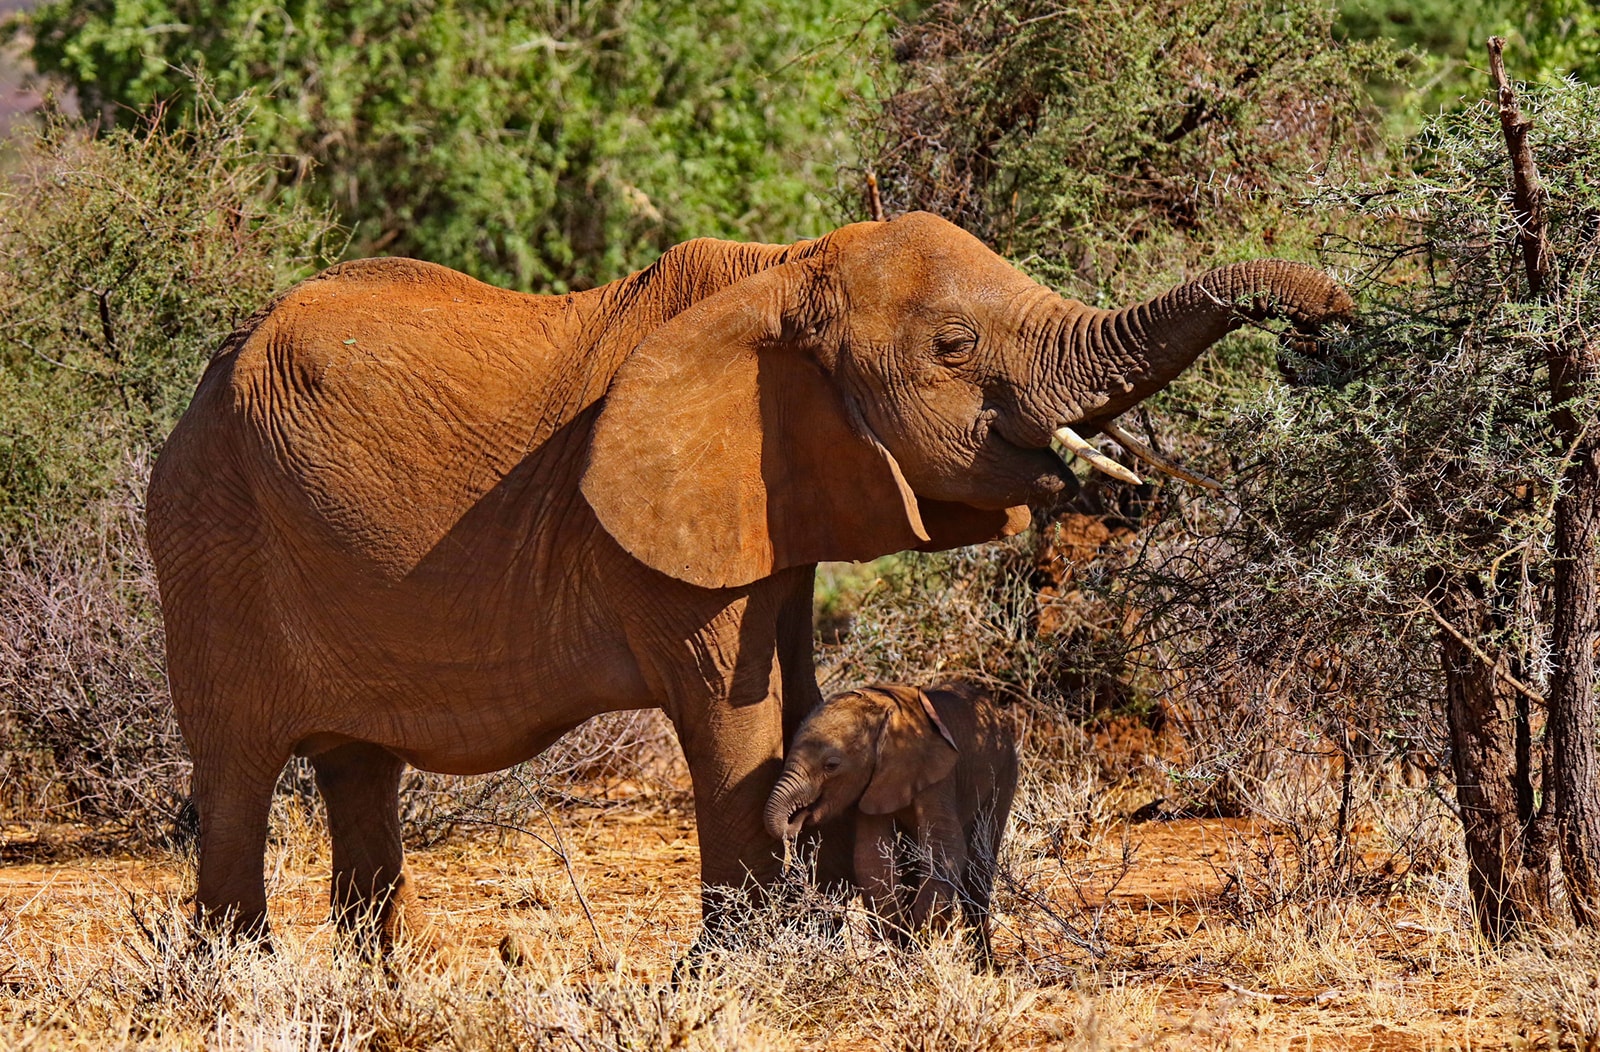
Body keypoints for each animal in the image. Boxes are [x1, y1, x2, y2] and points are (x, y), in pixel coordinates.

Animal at [764, 681, 1017, 959]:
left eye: (831, 765)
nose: (799, 817)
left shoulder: (938, 774)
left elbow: (945, 846)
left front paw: (922, 939)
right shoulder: (873, 781)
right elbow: (872, 857)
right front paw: (901, 945)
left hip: (1005, 770)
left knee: (978, 869)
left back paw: (984, 964)